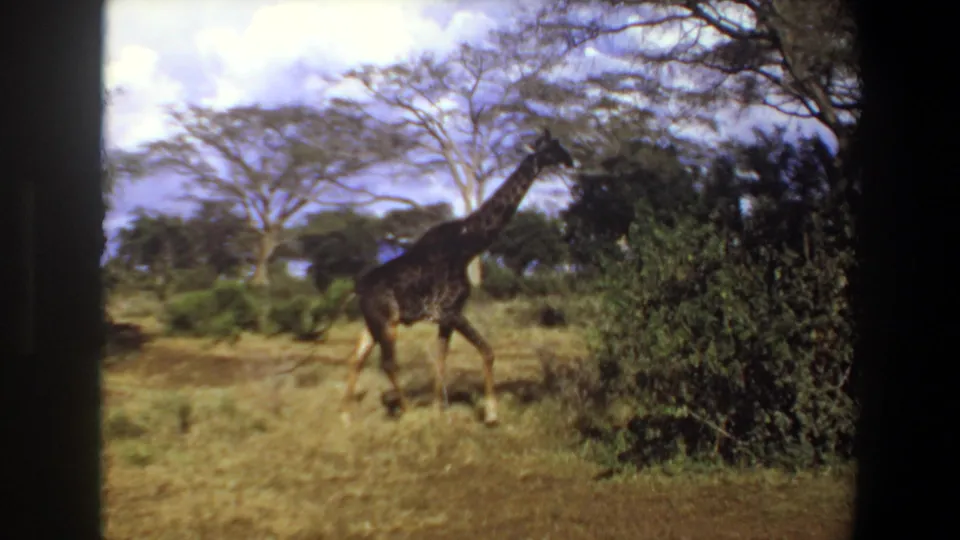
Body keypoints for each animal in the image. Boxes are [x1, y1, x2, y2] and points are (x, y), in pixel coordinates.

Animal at [339, 128, 576, 426]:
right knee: (388, 363)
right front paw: (491, 413)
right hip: (386, 321)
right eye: (552, 147)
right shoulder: (452, 311)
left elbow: (442, 360)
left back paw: (347, 415)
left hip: (372, 322)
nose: (570, 160)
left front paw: (439, 409)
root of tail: (357, 289)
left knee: (355, 357)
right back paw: (407, 411)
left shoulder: (445, 318)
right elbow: (487, 351)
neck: (468, 245)